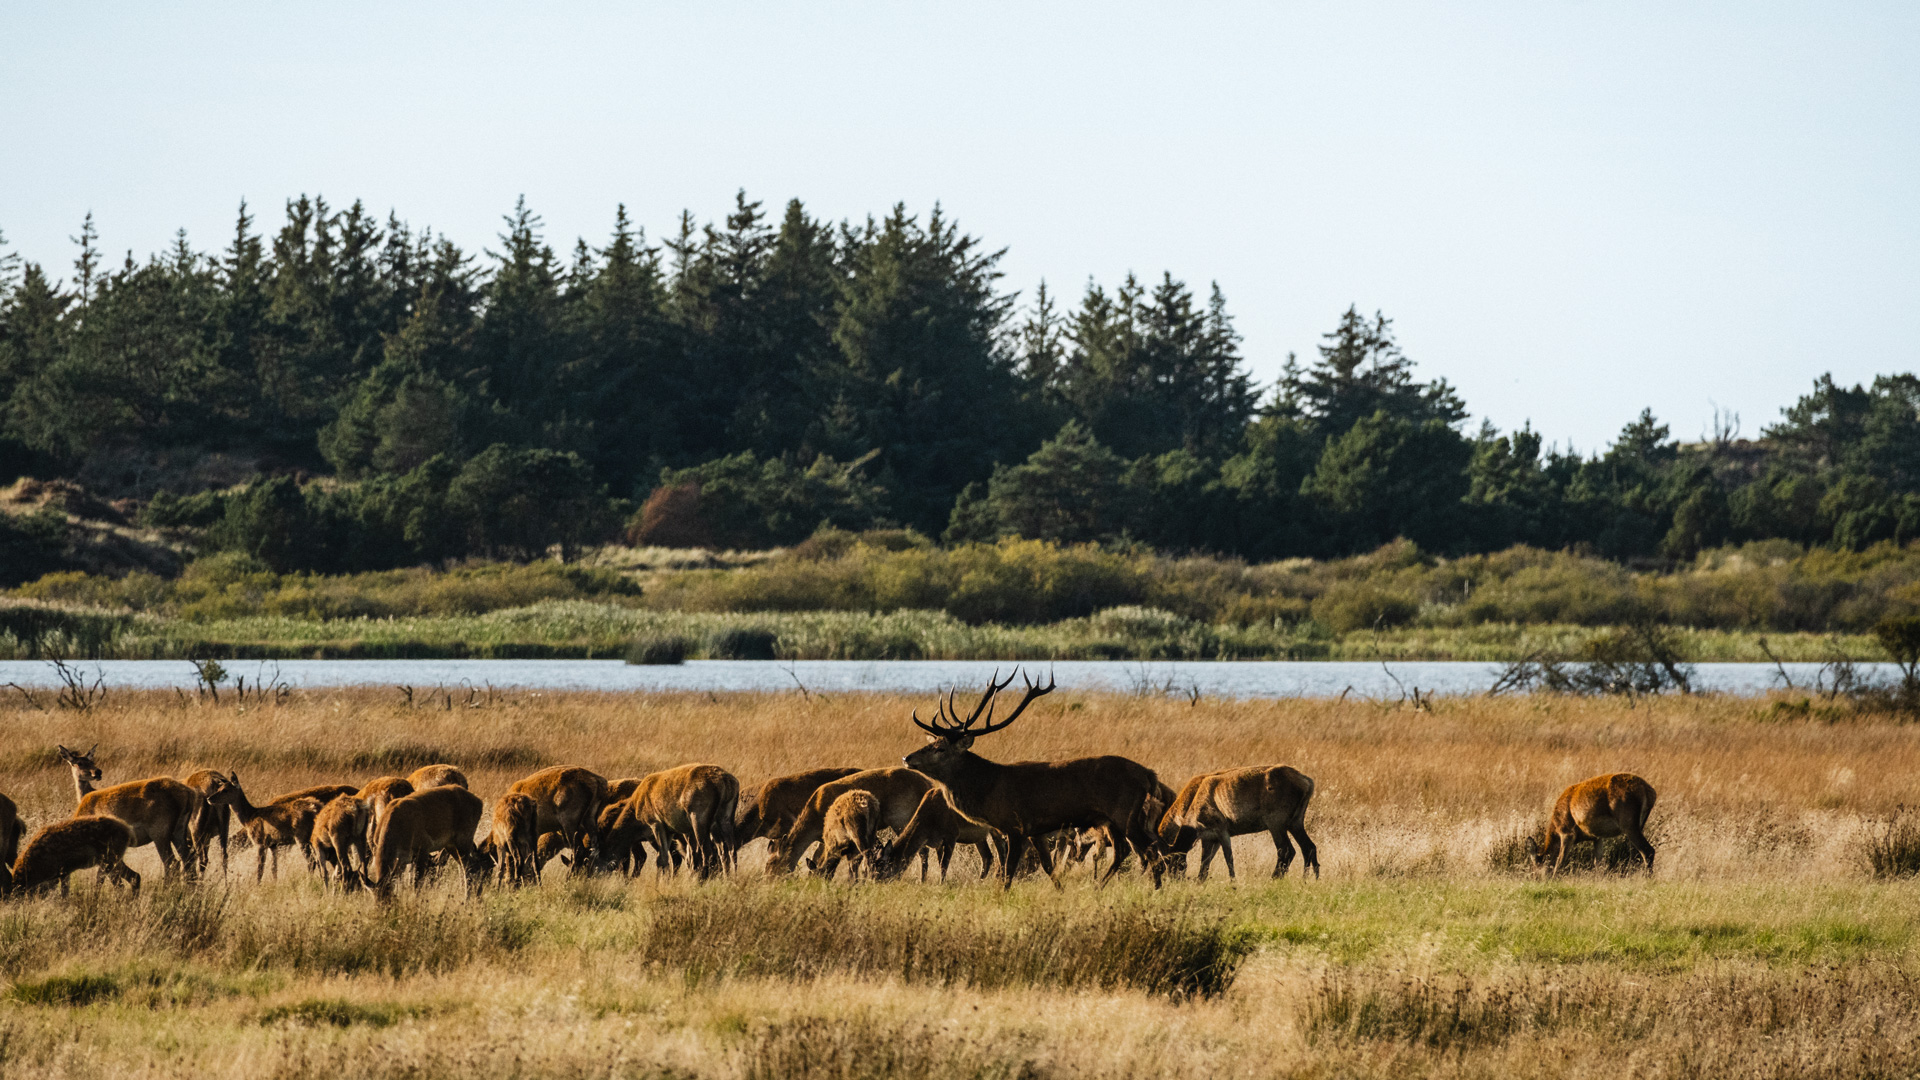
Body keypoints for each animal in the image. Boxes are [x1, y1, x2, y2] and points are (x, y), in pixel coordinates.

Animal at [11, 817, 140, 897]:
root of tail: (129, 832)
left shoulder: (64, 870)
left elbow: (64, 894)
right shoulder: (64, 872)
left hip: (108, 861)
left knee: (115, 885)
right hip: (115, 860)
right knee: (134, 877)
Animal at [60, 746, 201, 882]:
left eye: (92, 761)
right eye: (79, 763)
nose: (98, 772)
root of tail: (189, 793)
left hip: (160, 830)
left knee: (172, 862)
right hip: (179, 828)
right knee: (188, 858)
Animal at [904, 669, 1166, 889]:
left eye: (940, 749)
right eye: (933, 743)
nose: (907, 757)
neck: (988, 789)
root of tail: (1147, 774)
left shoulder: (1015, 825)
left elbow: (1009, 870)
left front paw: (1002, 895)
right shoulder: (1036, 830)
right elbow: (1048, 867)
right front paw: (1060, 891)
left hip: (1125, 813)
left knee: (1150, 849)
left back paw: (1155, 889)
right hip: (1110, 820)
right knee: (1123, 851)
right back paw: (1099, 887)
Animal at [1157, 766, 1319, 881]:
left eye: (1170, 862)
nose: (1173, 880)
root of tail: (1308, 783)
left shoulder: (1222, 830)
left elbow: (1229, 858)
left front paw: (1233, 881)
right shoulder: (1209, 838)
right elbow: (1204, 865)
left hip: (1275, 822)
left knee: (1287, 850)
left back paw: (1274, 878)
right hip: (1296, 821)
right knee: (1309, 847)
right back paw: (1309, 879)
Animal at [1528, 773, 1658, 875]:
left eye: (1536, 869)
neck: (1555, 825)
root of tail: (1650, 792)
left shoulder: (1567, 832)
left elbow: (1560, 862)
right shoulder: (1597, 837)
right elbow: (1598, 863)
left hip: (1628, 824)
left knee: (1648, 851)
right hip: (1639, 824)